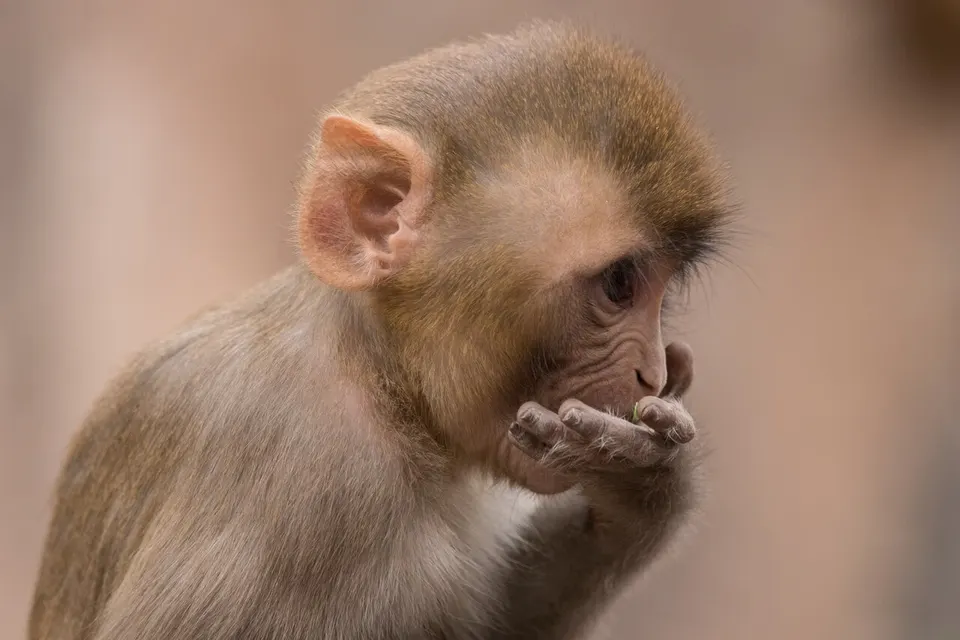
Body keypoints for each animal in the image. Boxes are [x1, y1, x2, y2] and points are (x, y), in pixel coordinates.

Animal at [28, 21, 731, 640]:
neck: (384, 382)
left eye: (662, 290)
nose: (652, 374)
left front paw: (642, 493)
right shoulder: (298, 477)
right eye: (620, 284)